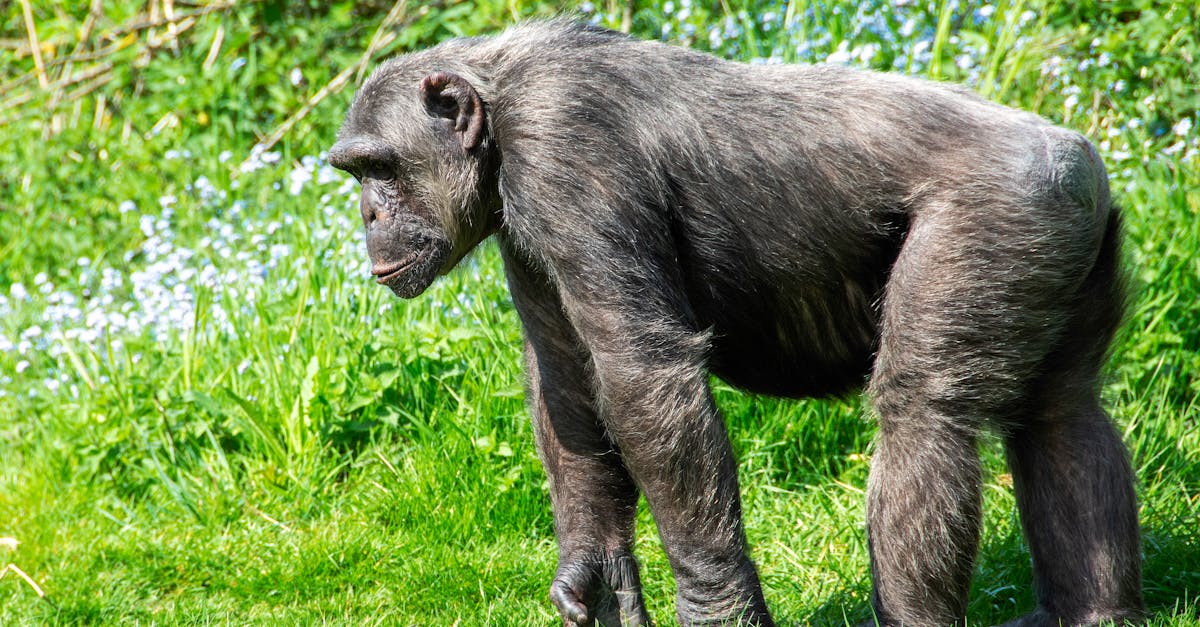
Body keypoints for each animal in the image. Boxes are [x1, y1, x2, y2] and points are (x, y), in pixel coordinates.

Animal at [328, 20, 1143, 627]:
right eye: (357, 172)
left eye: (382, 167)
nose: (366, 214)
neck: (500, 107)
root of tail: (1079, 159)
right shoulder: (523, 229)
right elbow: (565, 377)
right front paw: (594, 567)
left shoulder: (565, 154)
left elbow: (642, 372)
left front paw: (715, 605)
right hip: (1065, 238)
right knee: (1064, 415)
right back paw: (1094, 609)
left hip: (992, 219)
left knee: (922, 416)